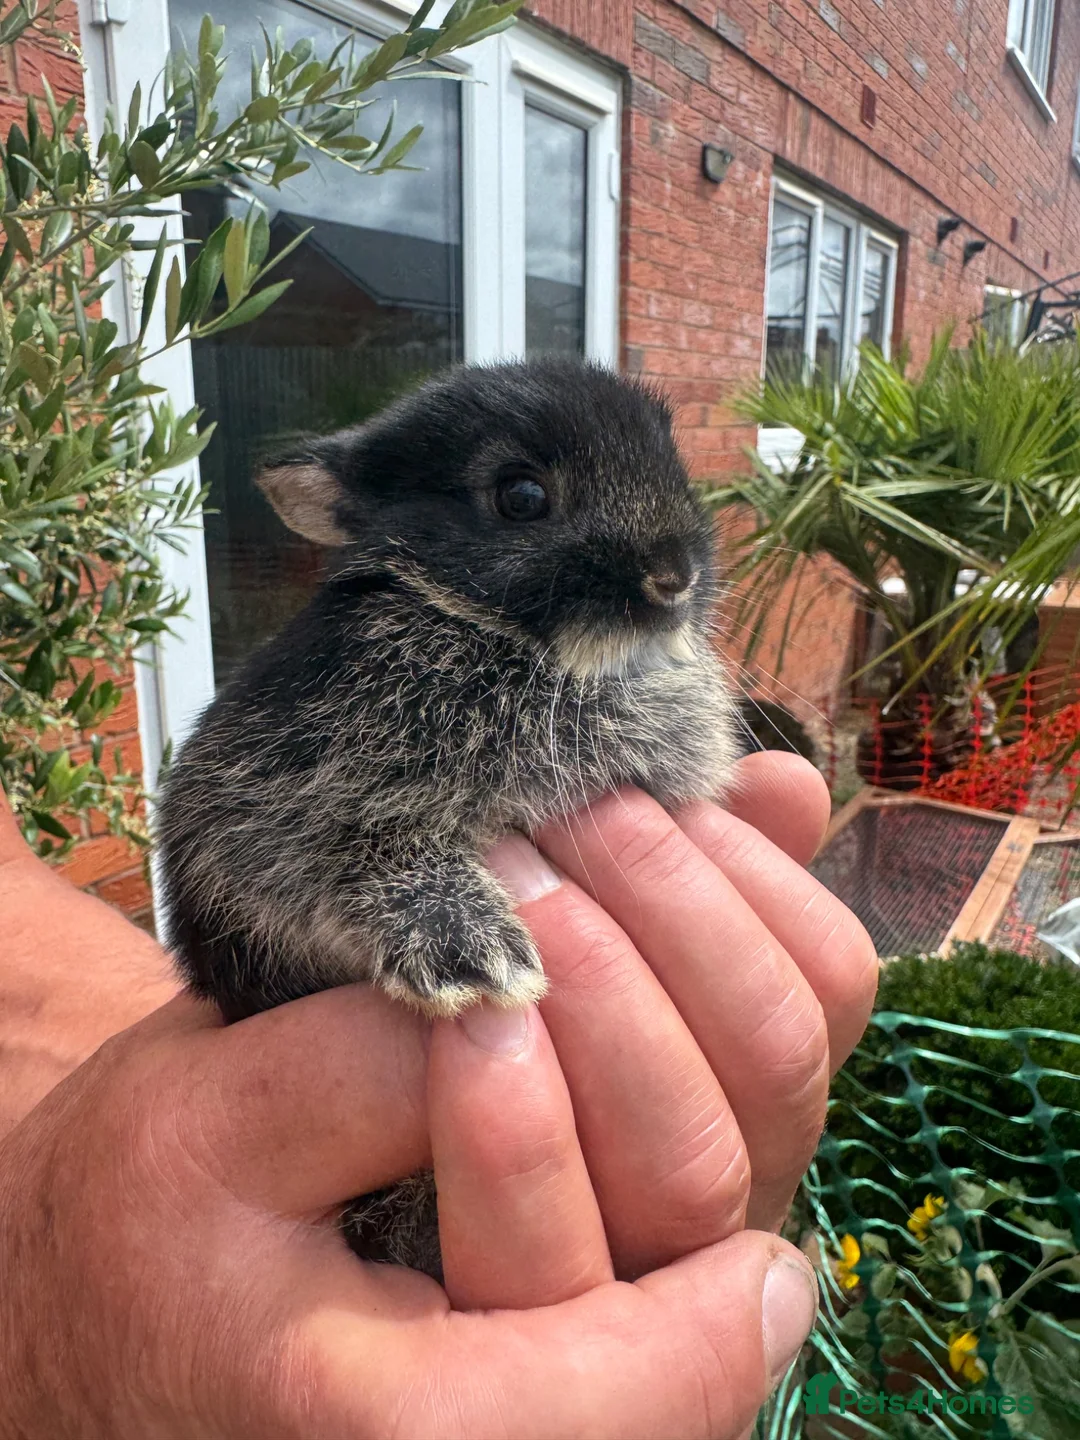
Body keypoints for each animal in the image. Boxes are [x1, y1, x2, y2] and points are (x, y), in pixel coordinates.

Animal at [156, 357, 739, 1279]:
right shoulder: (262, 814)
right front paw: (473, 956)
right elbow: (355, 856)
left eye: (673, 459)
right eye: (522, 497)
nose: (673, 577)